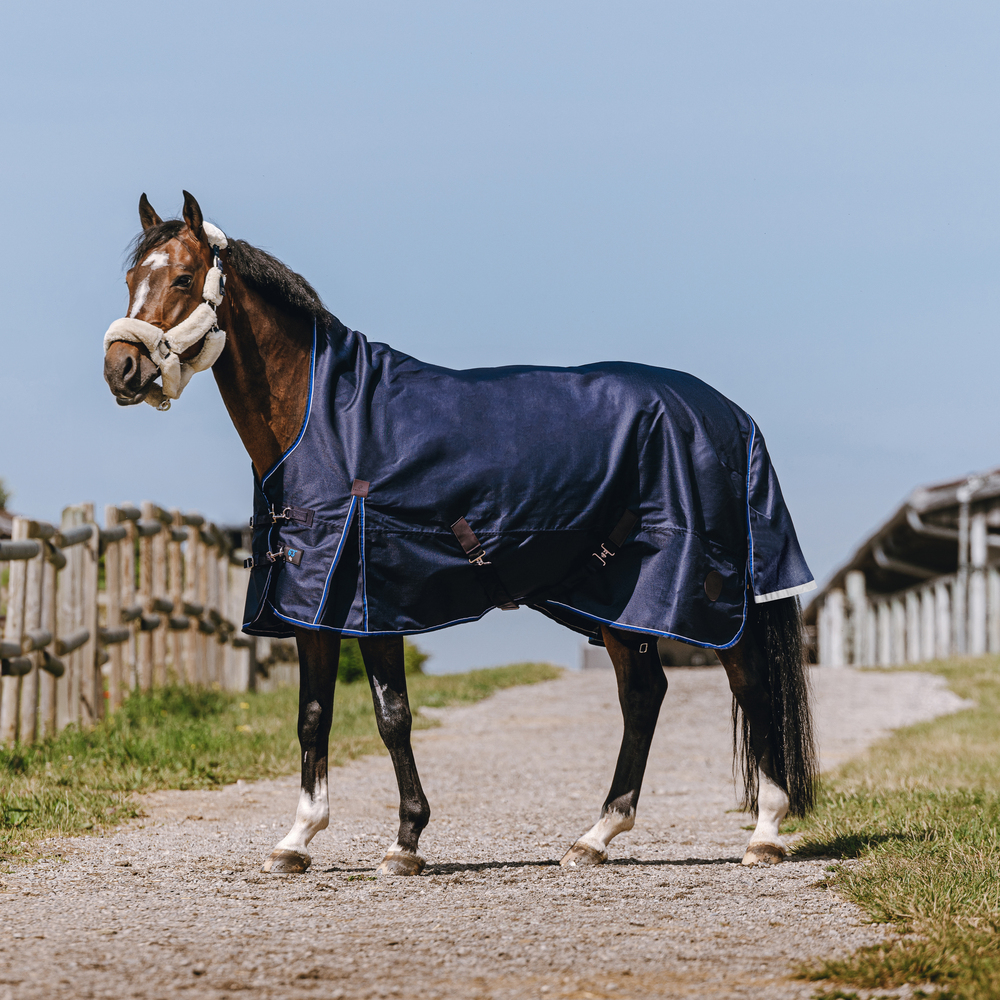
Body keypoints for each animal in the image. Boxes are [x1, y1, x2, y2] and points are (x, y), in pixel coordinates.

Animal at [103, 191, 817, 876]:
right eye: (132, 278)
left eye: (184, 277)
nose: (122, 370)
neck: (325, 420)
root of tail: (729, 414)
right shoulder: (312, 606)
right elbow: (312, 718)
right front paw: (297, 841)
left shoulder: (371, 600)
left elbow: (392, 719)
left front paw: (404, 843)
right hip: (619, 597)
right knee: (644, 695)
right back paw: (595, 838)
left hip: (708, 597)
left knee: (751, 686)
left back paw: (765, 834)